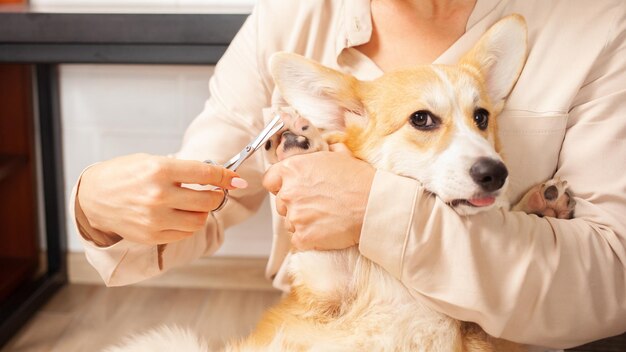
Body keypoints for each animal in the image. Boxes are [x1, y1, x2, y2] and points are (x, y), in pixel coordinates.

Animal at [105, 14, 572, 352]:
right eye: (422, 119)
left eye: (481, 117)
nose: (495, 173)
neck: (404, 283)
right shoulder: (325, 286)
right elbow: (319, 259)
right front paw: (298, 145)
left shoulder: (492, 334)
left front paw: (540, 205)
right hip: (171, 340)